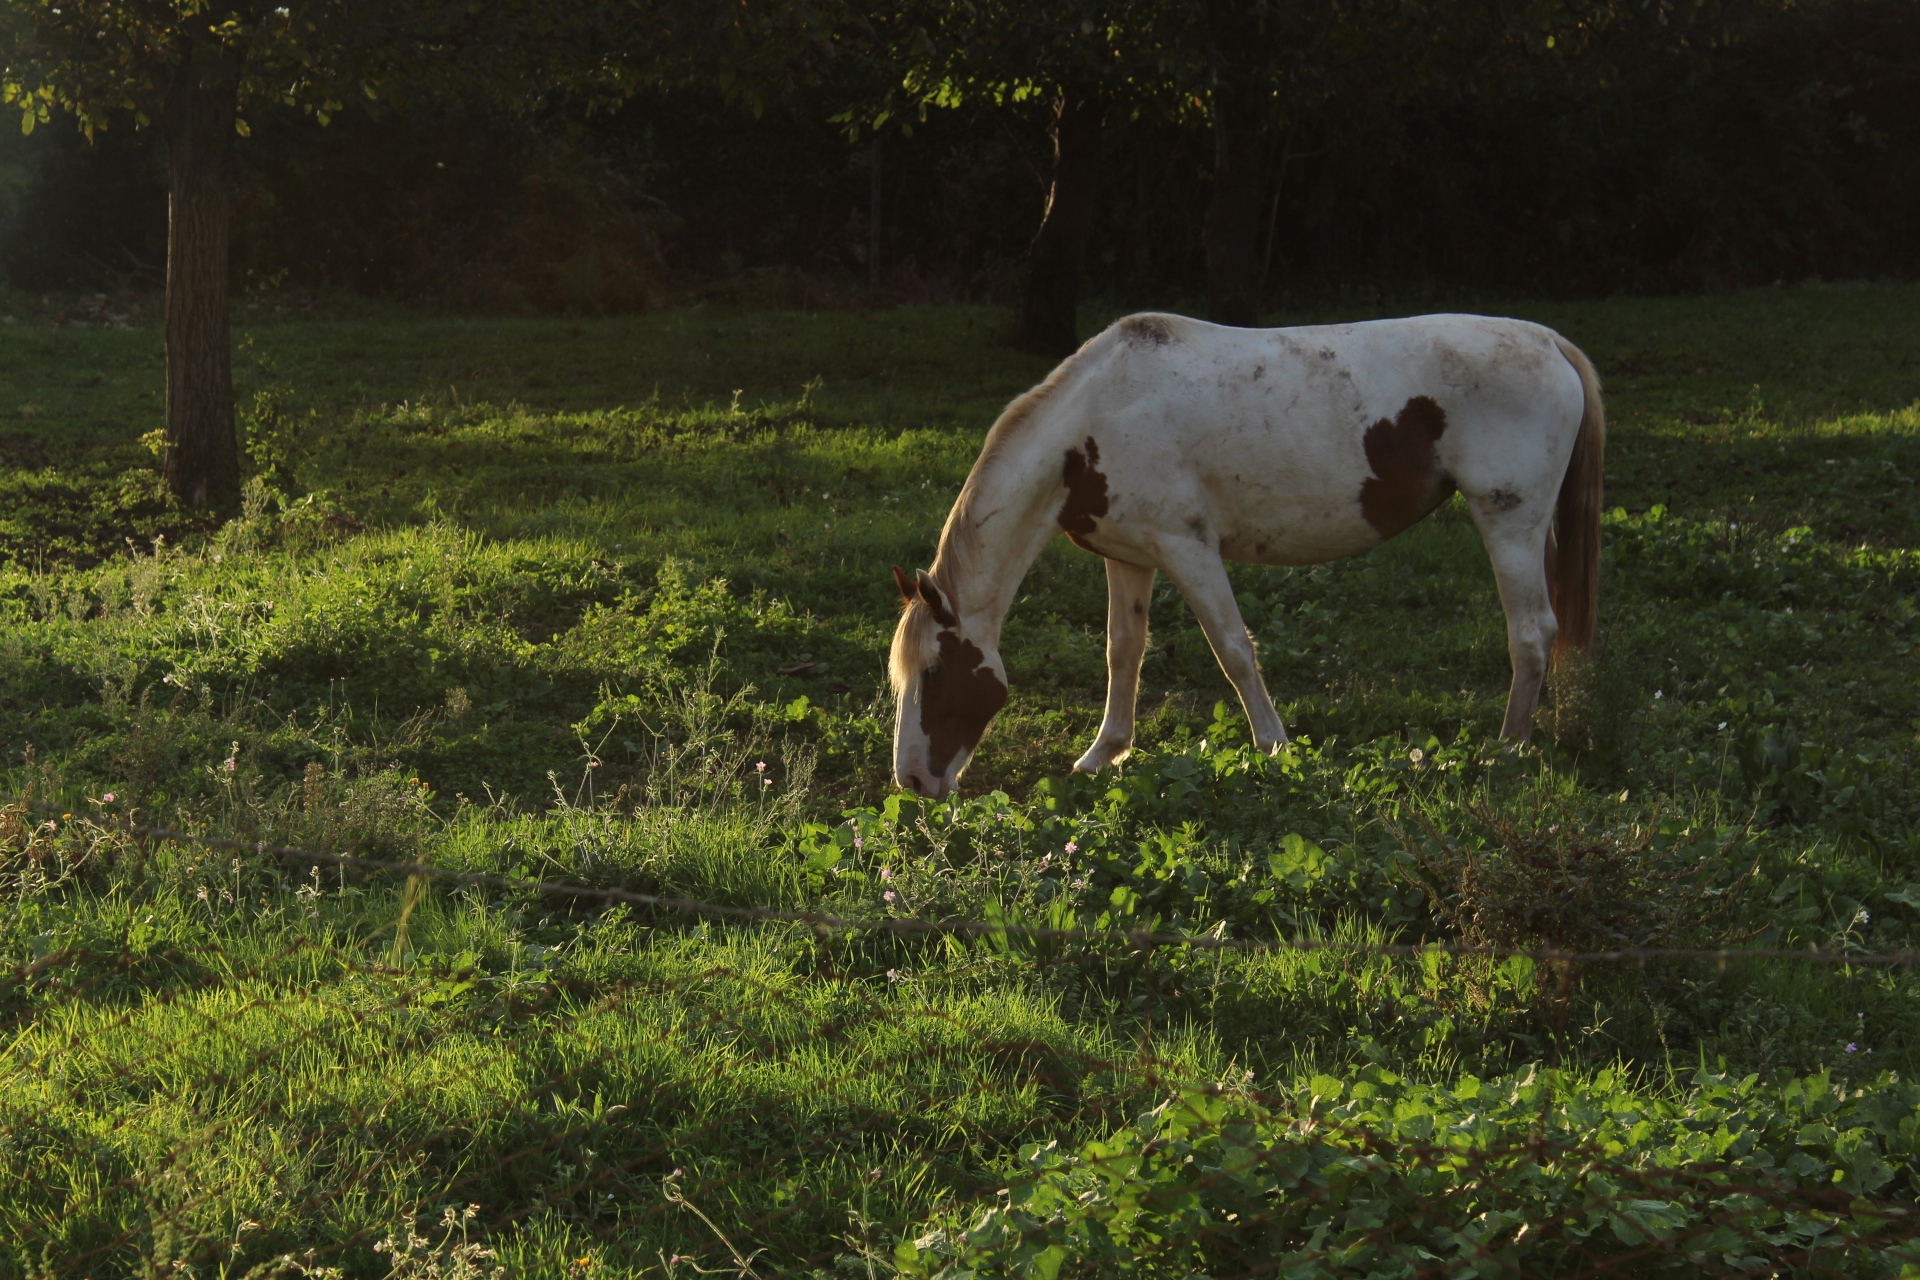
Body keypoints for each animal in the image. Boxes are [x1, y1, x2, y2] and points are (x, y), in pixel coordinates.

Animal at [887, 312, 1605, 800]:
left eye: (934, 672)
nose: (913, 782)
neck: (1093, 421)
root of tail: (1549, 341)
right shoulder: (1130, 557)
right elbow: (1124, 651)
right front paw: (1102, 756)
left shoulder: (1188, 548)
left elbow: (1233, 649)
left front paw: (1274, 748)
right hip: (1532, 529)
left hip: (1507, 521)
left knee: (1531, 634)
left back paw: (1508, 751)